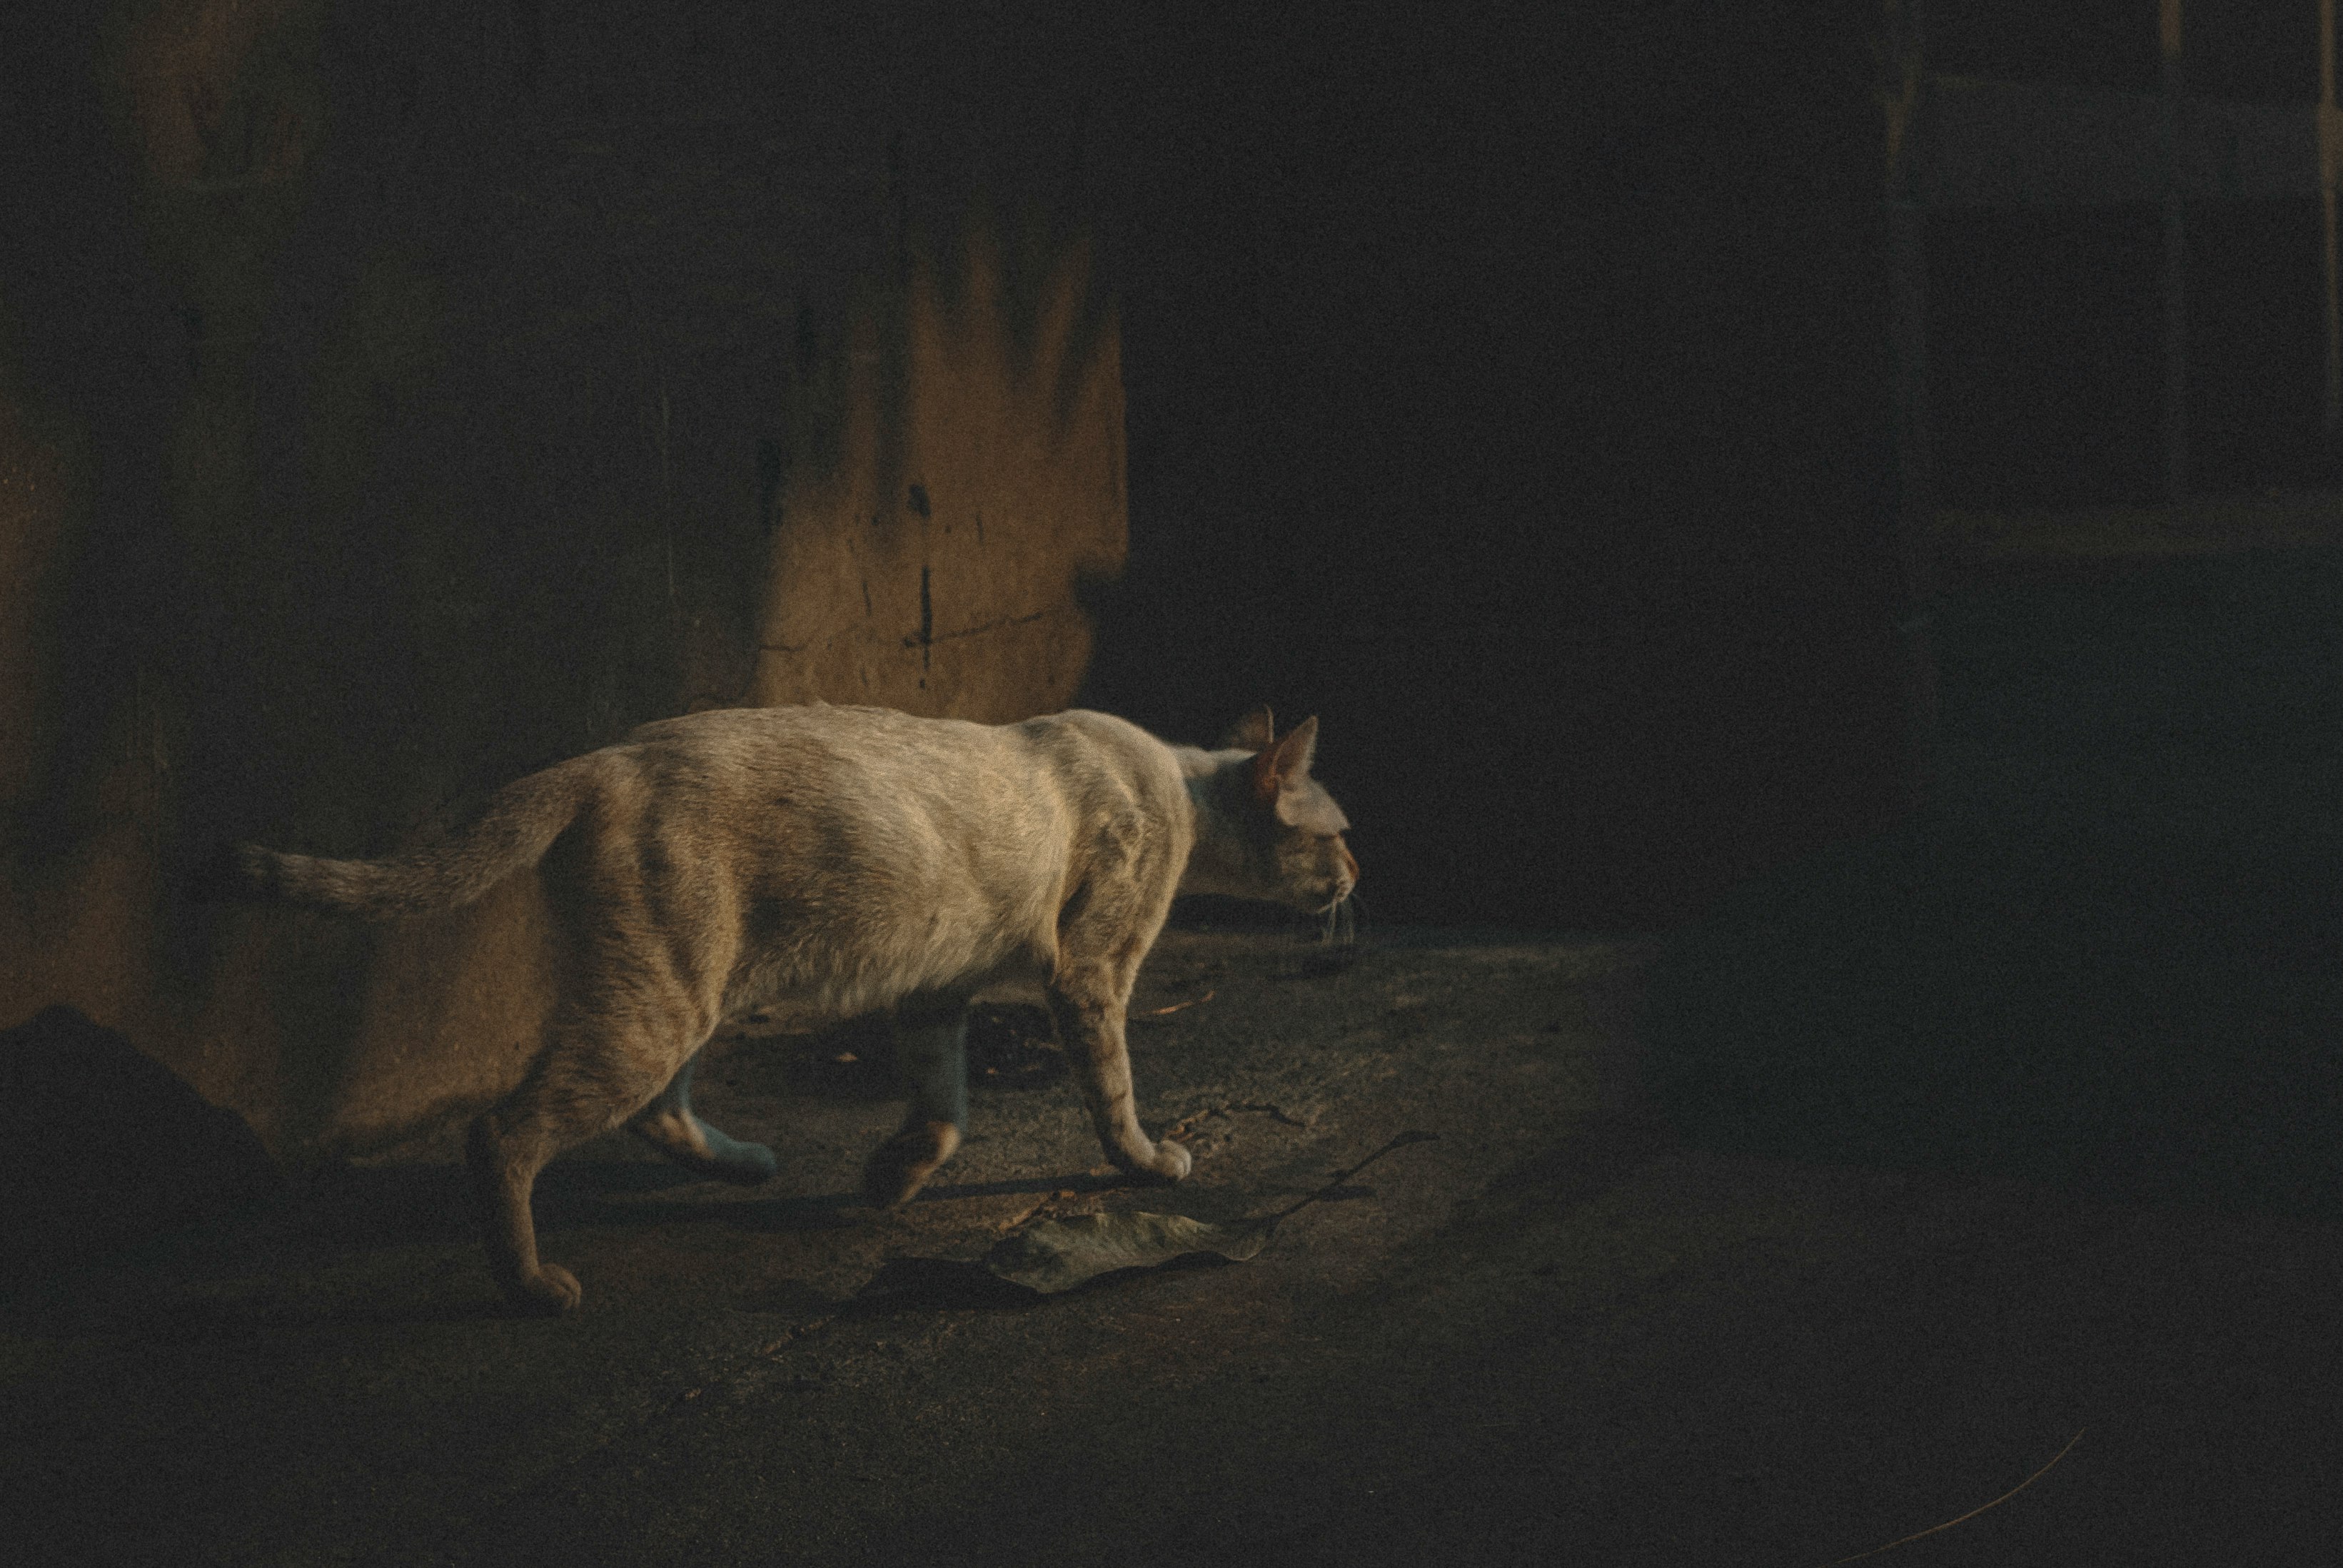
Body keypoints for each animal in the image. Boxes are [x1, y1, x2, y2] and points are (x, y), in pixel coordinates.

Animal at [215, 703, 1368, 1312]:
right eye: (1340, 833)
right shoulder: (1091, 971)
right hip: (660, 1005)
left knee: (656, 1112)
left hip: (684, 989)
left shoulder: (936, 988)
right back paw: (533, 1281)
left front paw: (891, 1179)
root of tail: (599, 758)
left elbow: (943, 1110)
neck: (1180, 788)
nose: (1361, 872)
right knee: (502, 1130)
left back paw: (750, 1166)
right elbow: (1112, 1088)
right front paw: (1149, 1162)